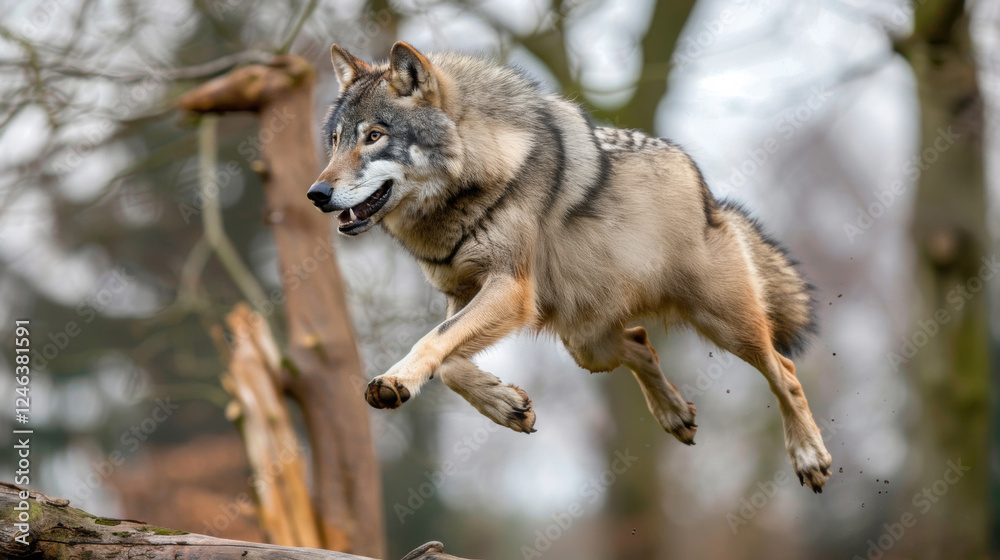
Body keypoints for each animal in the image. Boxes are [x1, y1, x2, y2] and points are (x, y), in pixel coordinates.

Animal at [307, 42, 833, 492]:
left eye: (374, 137)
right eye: (335, 141)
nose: (316, 194)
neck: (478, 174)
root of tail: (711, 199)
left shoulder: (510, 290)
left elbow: (433, 343)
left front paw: (397, 381)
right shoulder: (464, 295)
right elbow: (449, 359)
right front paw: (506, 405)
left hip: (724, 324)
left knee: (784, 369)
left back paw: (809, 456)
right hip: (587, 345)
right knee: (641, 342)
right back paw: (675, 414)